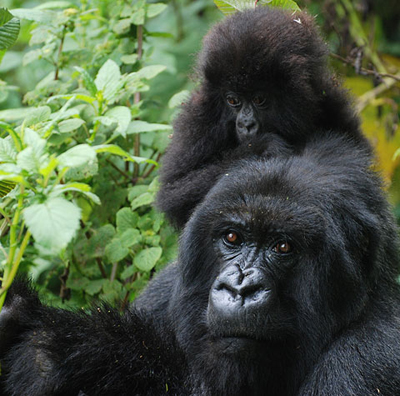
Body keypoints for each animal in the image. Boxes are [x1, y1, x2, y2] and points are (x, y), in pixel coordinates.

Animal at [0, 135, 400, 394]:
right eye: (233, 237)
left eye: (283, 246)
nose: (240, 287)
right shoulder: (162, 294)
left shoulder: (370, 357)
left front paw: (55, 348)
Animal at [157, 6, 372, 229]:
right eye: (233, 100)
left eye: (259, 99)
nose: (246, 124)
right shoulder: (200, 118)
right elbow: (173, 194)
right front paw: (262, 147)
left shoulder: (329, 102)